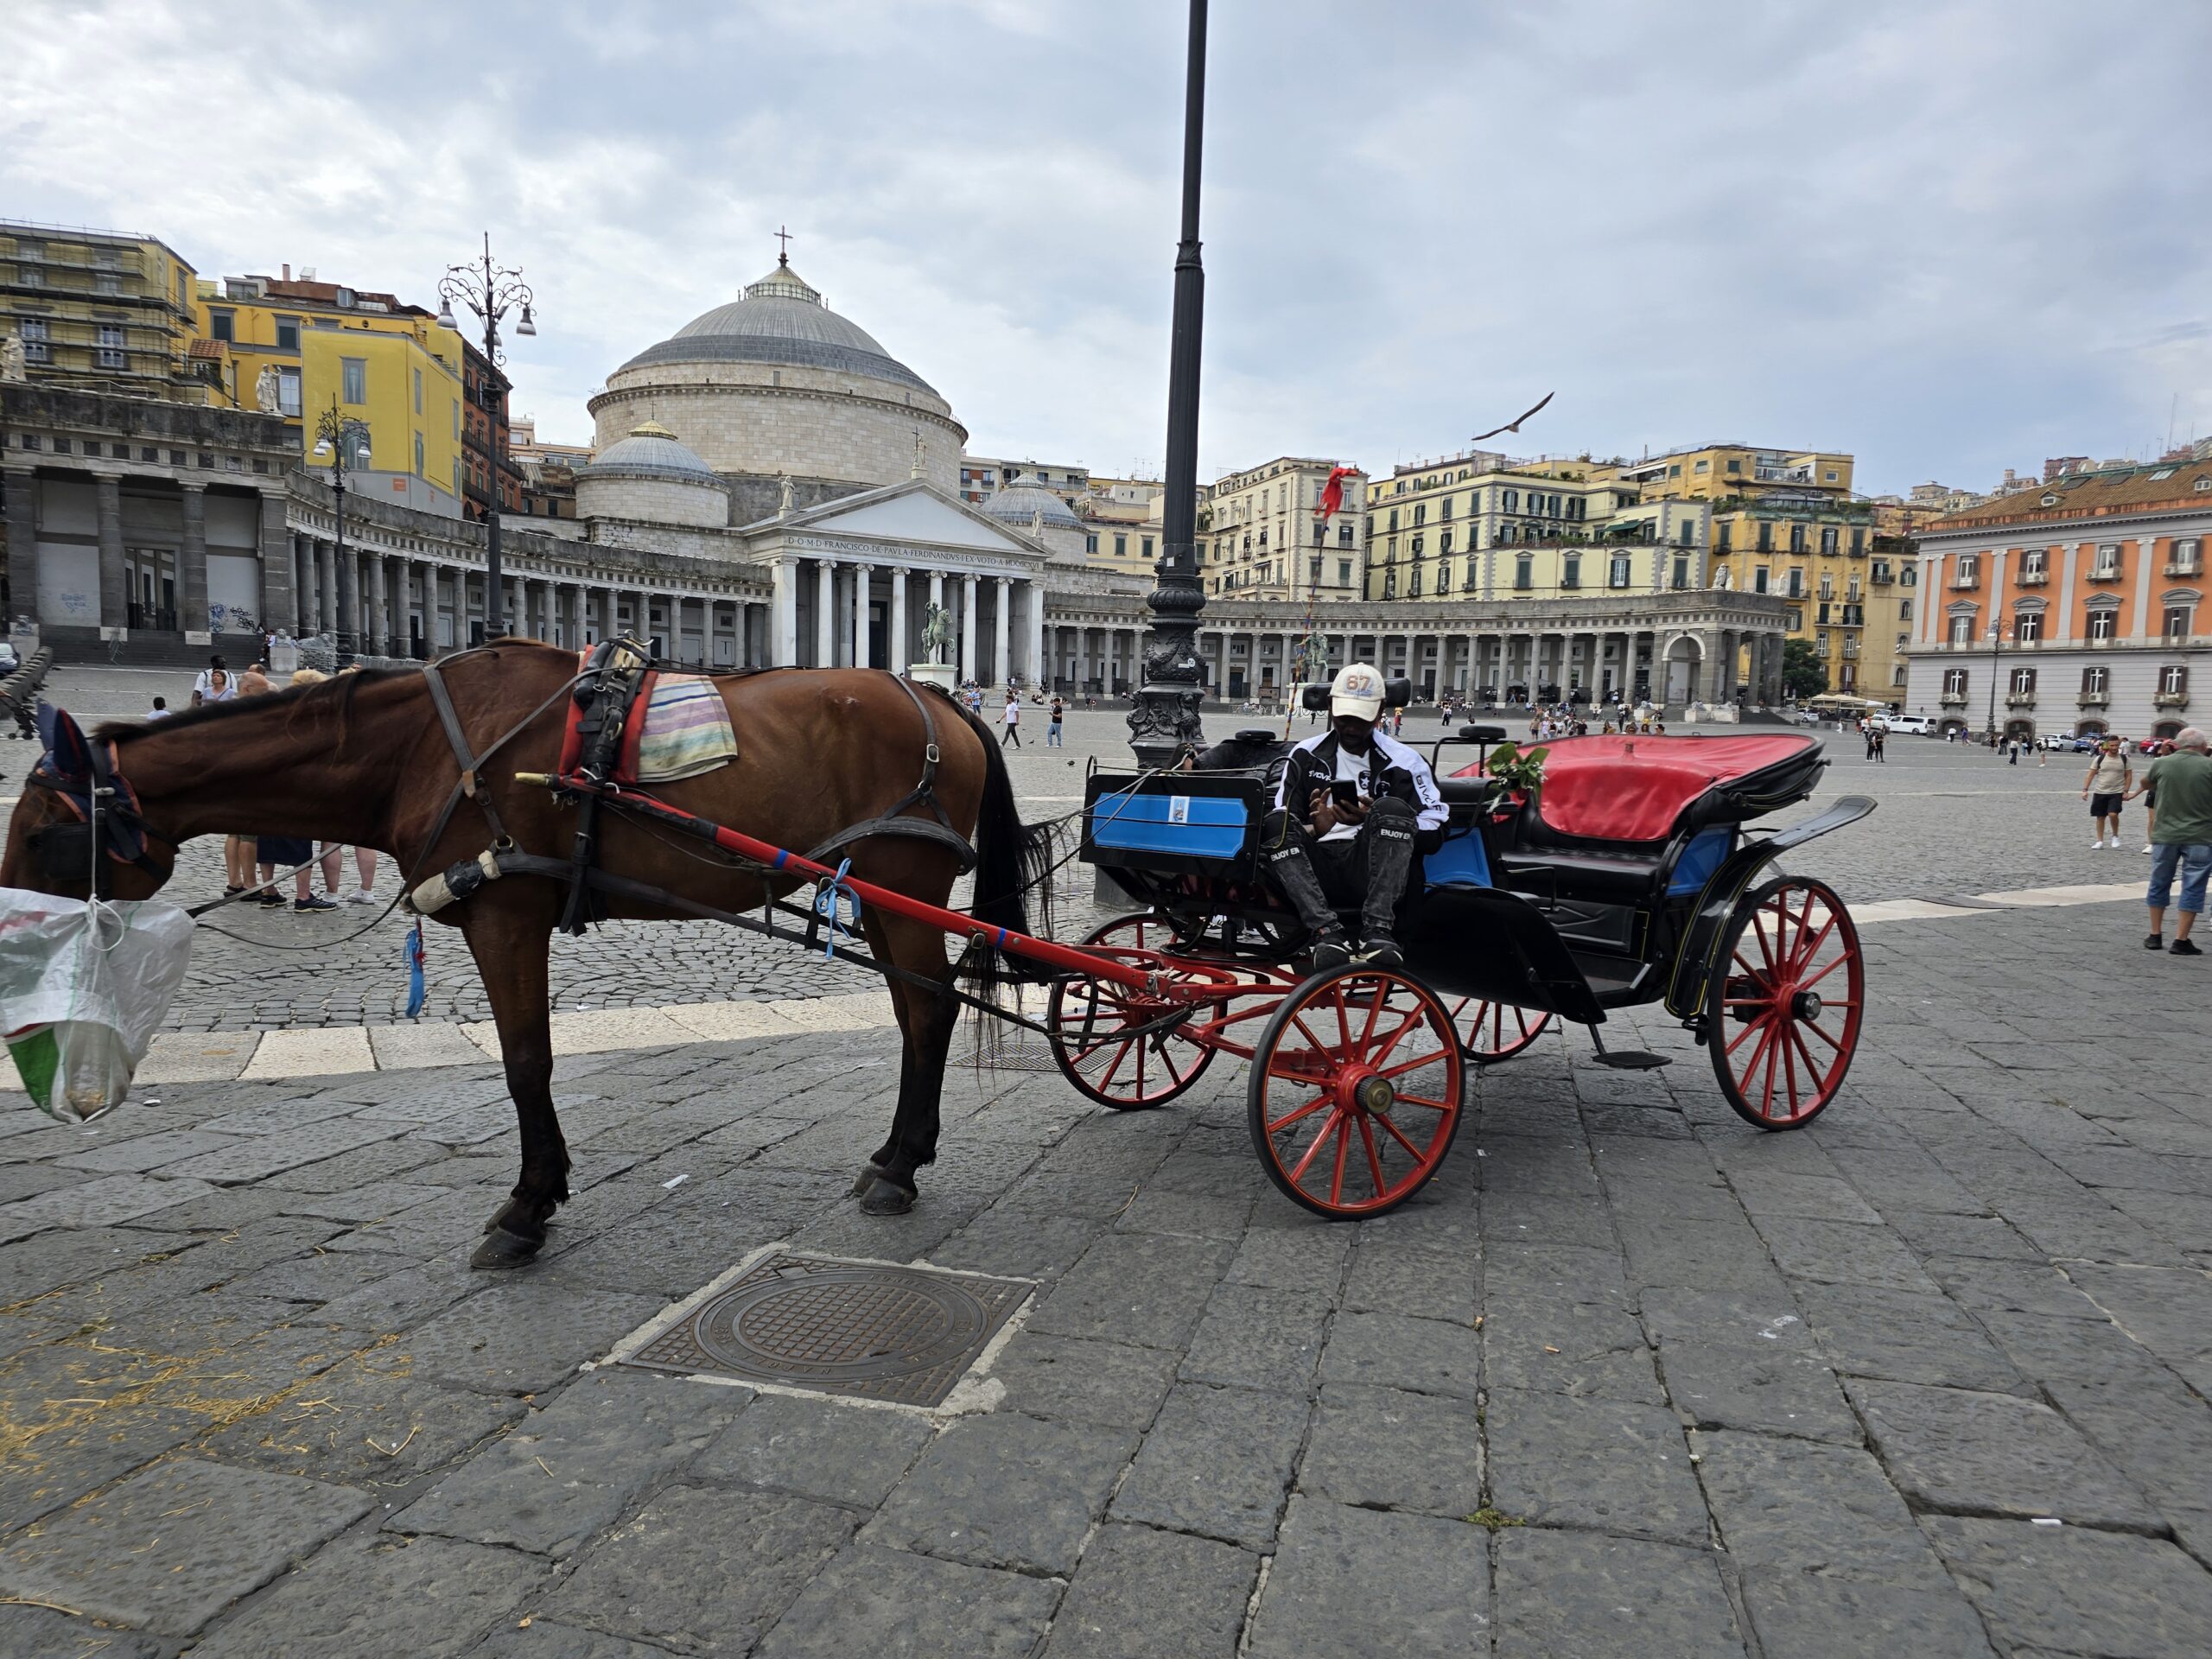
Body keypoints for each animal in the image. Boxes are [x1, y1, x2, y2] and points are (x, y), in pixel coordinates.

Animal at [0, 641, 1052, 1265]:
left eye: (40, 831)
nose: (14, 945)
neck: (421, 746)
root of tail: (947, 704)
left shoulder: (506, 915)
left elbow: (525, 1061)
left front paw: (525, 1208)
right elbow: (526, 1060)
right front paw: (537, 1197)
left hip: (905, 884)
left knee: (930, 1012)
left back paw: (900, 1169)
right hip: (876, 893)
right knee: (920, 1013)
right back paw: (893, 1156)